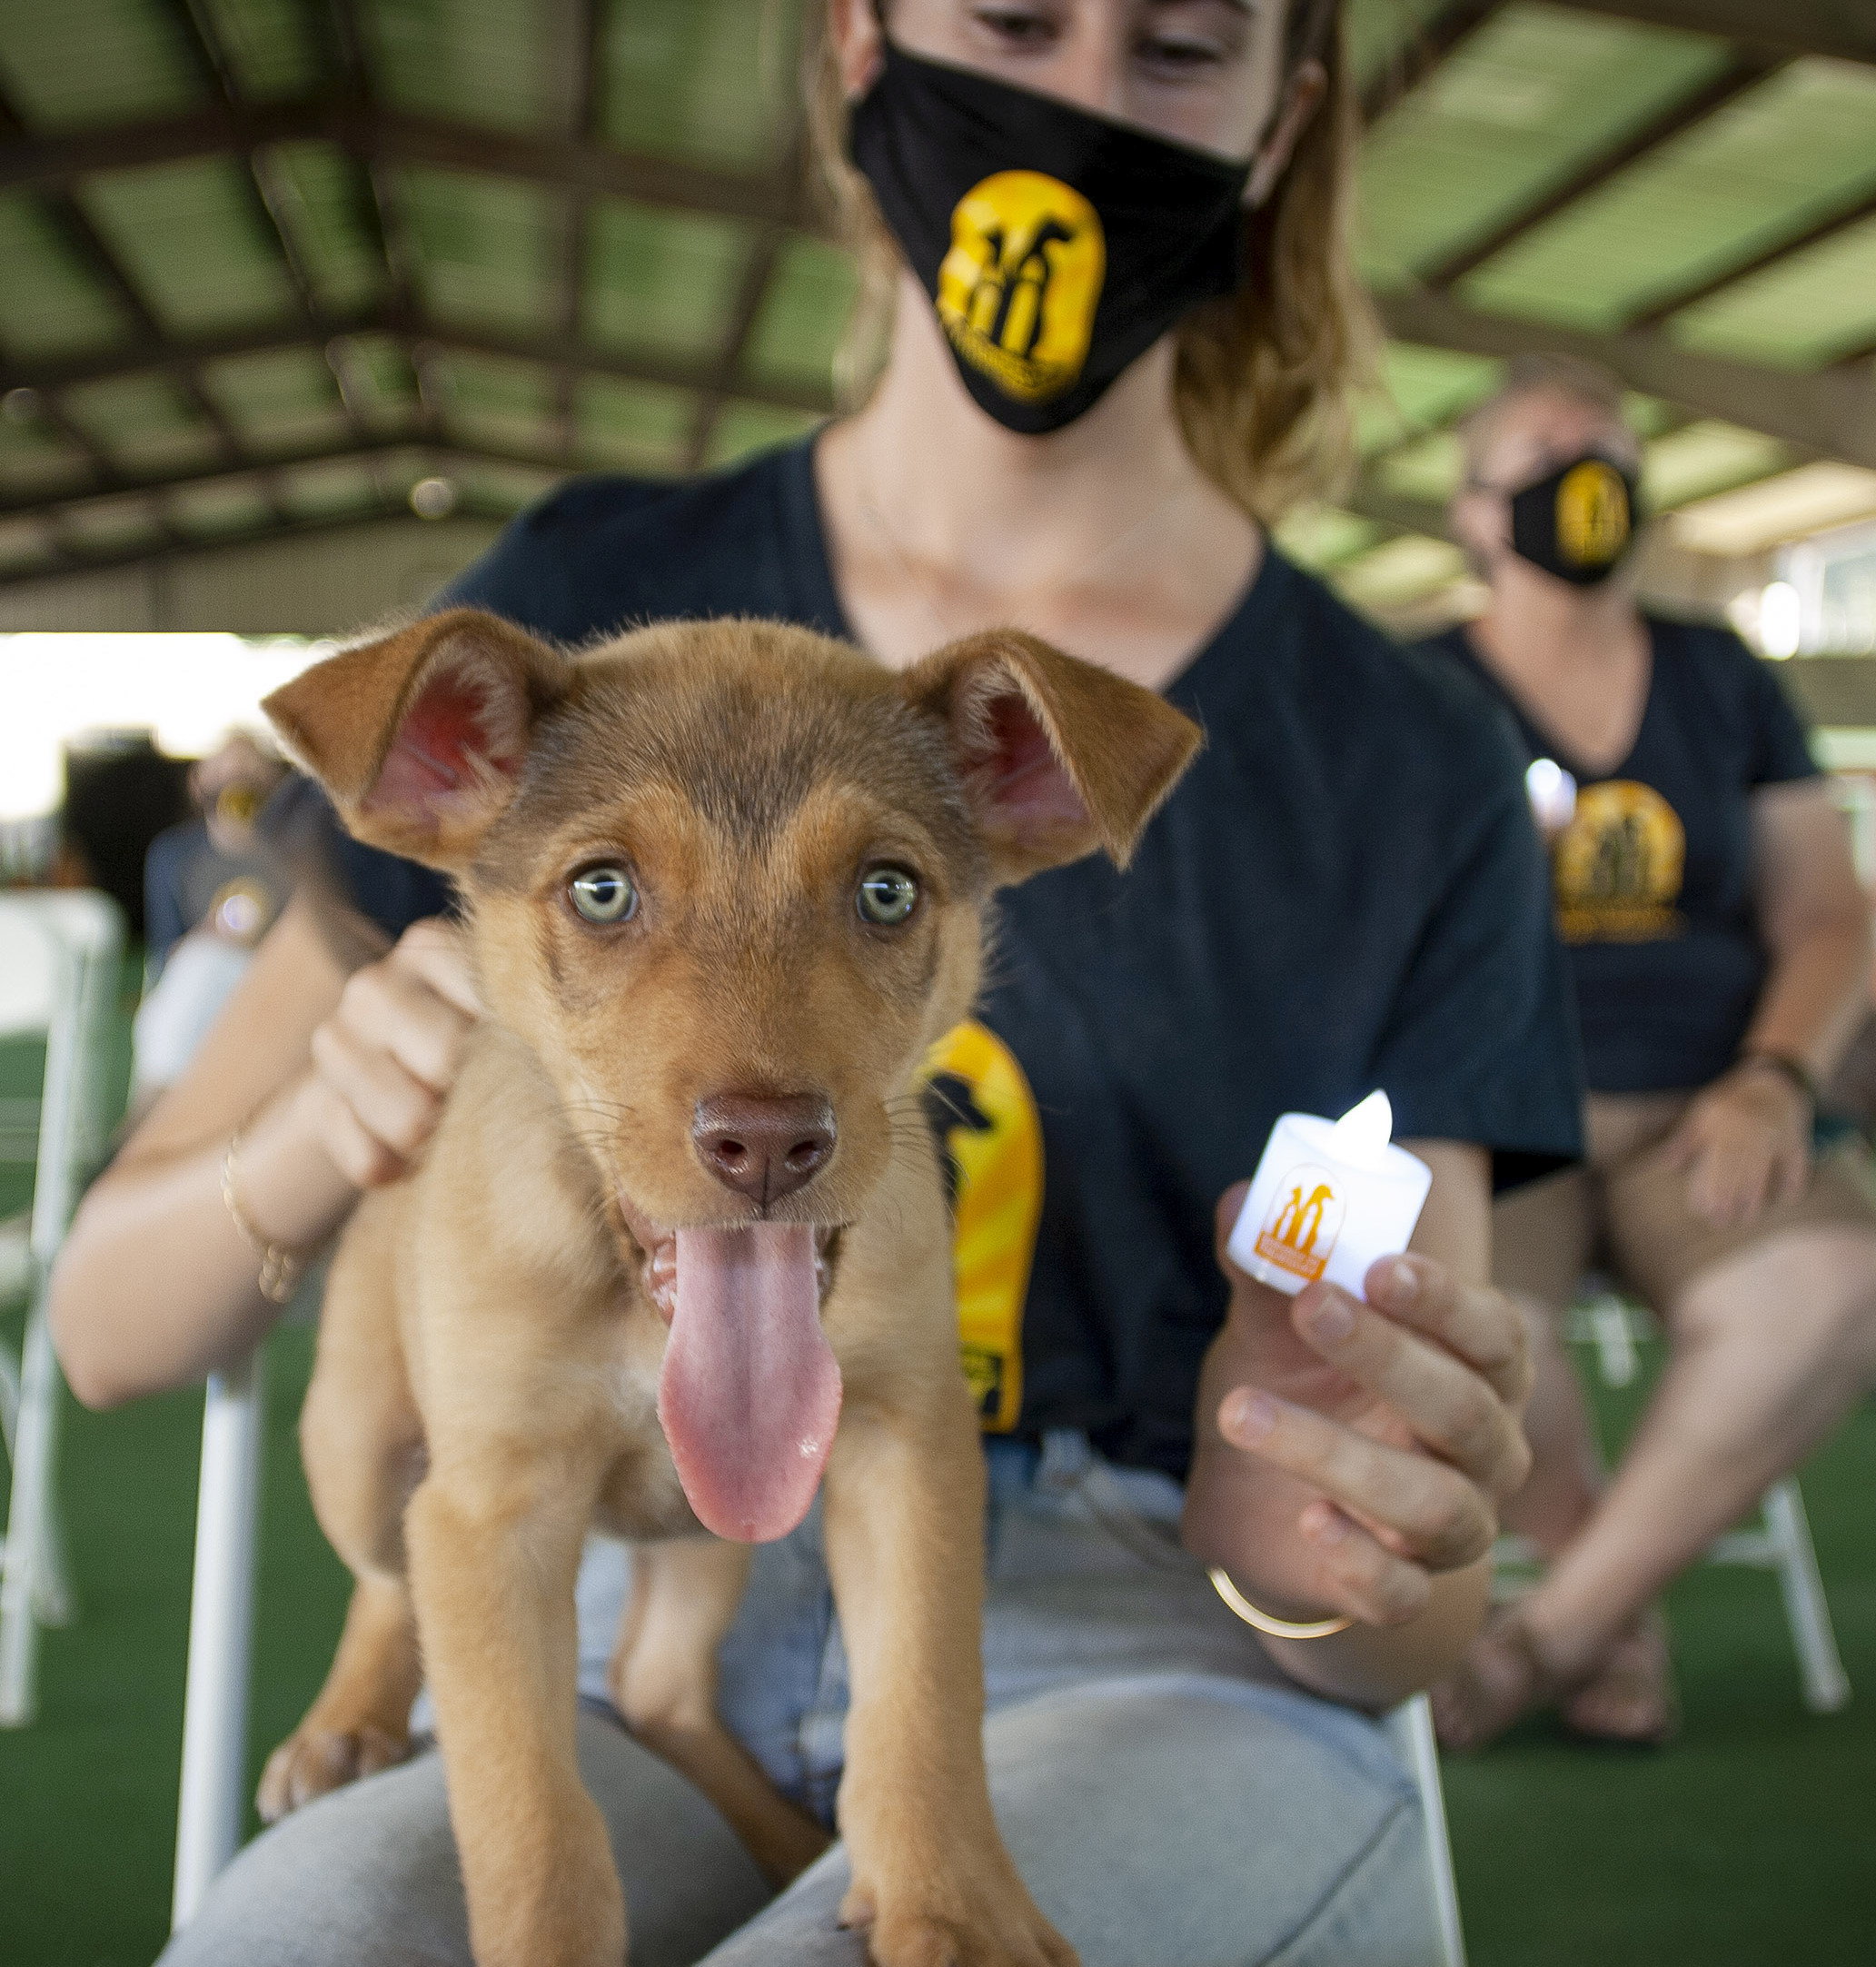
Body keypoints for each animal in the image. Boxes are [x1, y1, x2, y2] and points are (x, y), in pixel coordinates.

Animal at [252, 605, 1196, 1959]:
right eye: (602, 889)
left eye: (887, 890)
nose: (765, 1143)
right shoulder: (490, 1514)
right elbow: (530, 1820)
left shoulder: (904, 1442)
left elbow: (922, 1695)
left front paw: (953, 1904)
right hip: (362, 1447)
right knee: (386, 1583)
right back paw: (343, 1726)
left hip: (712, 1526)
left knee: (656, 1684)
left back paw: (776, 1834)